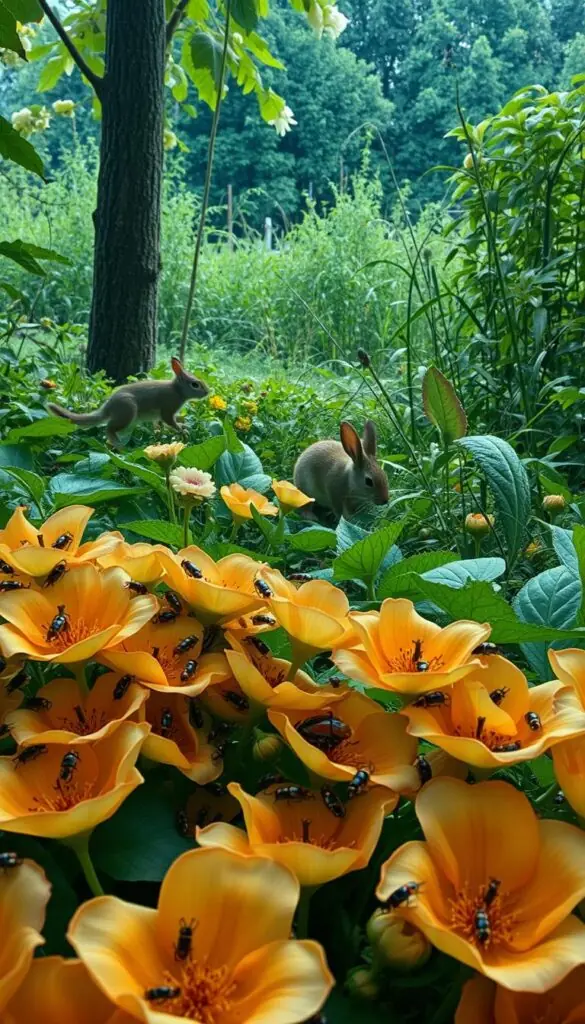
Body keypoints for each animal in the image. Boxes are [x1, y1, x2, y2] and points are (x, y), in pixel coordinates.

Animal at [47, 356, 209, 448]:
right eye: (195, 384)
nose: (207, 392)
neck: (177, 390)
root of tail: (108, 407)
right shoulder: (167, 410)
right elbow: (171, 422)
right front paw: (182, 430)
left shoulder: (159, 418)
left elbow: (162, 426)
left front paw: (182, 427)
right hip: (128, 412)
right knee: (109, 429)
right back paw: (119, 445)